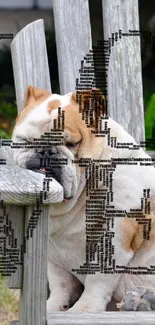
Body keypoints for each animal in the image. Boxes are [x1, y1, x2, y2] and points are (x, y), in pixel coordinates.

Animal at [11, 85, 155, 312]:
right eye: (25, 141)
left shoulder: (113, 237)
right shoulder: (53, 255)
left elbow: (98, 280)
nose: (45, 151)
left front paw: (84, 309)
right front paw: (55, 306)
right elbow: (60, 282)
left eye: (71, 143)